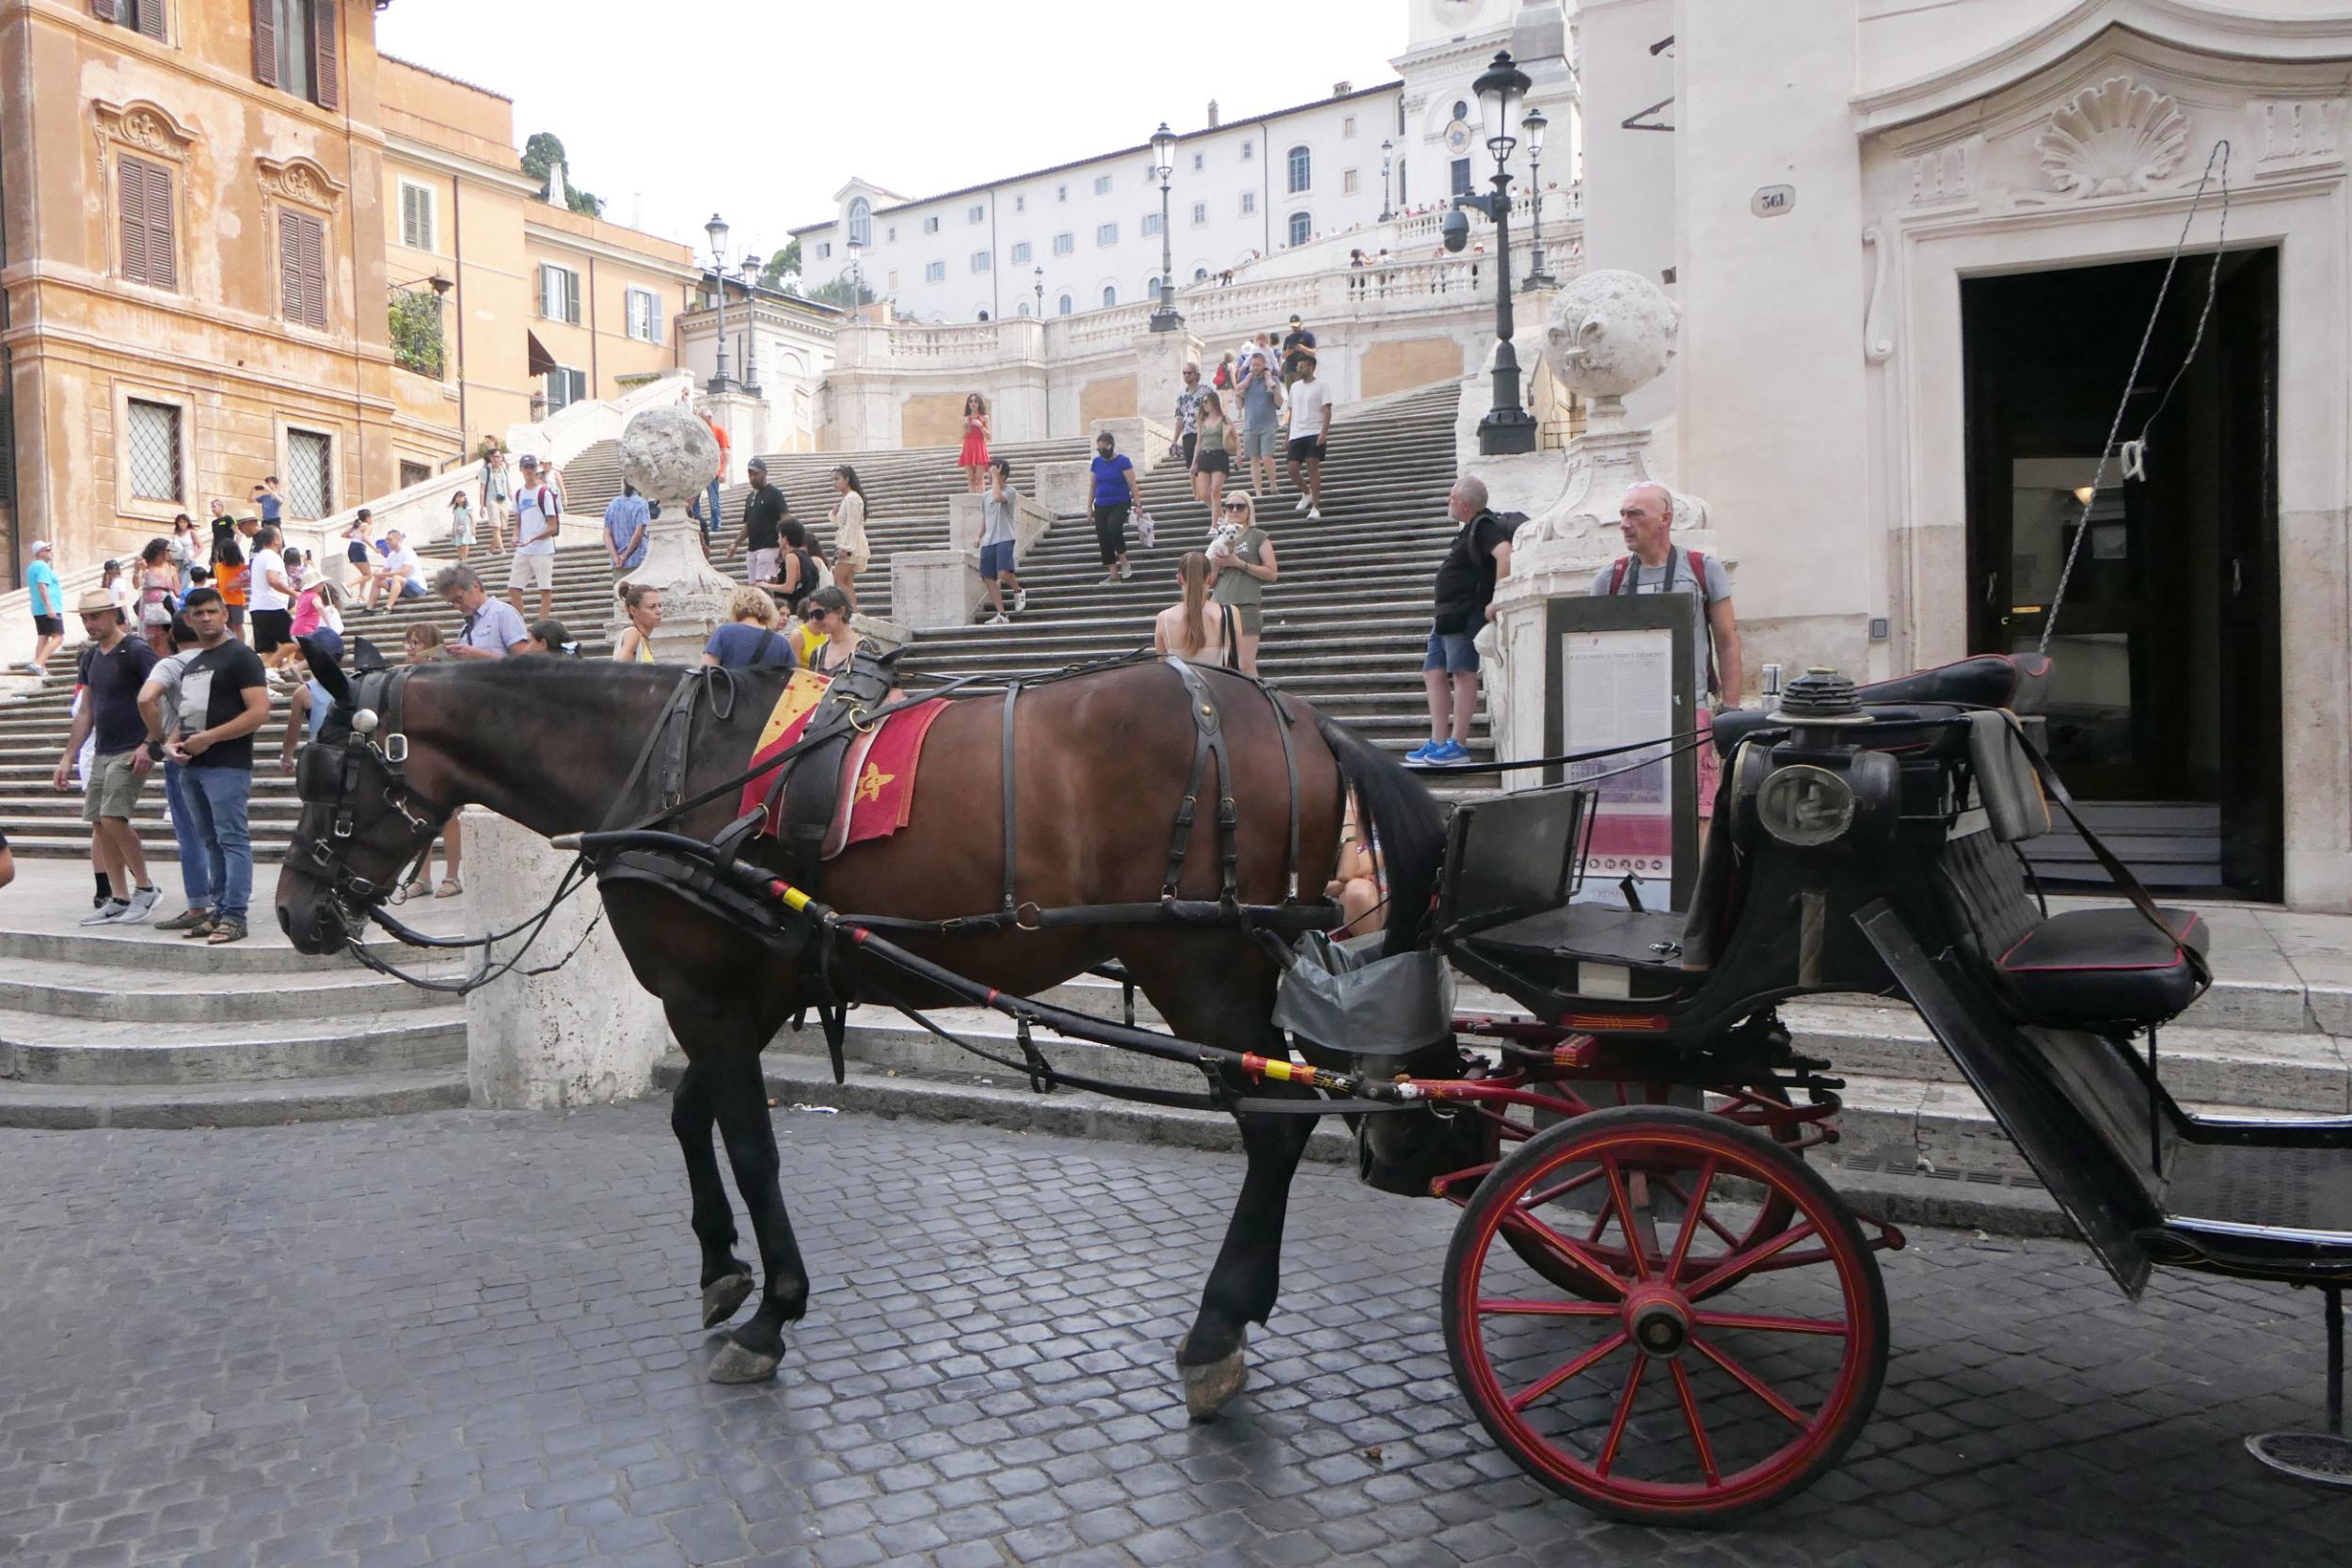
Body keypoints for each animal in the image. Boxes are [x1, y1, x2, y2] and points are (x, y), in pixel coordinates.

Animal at [275, 648, 1449, 1410]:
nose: (293, 911)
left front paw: (771, 1310)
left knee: (1275, 1124)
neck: (675, 768)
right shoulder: (747, 992)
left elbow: (750, 1145)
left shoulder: (706, 995)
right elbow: (693, 1117)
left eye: (328, 775)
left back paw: (1217, 1323)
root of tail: (1301, 717)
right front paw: (722, 1265)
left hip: (1197, 963)